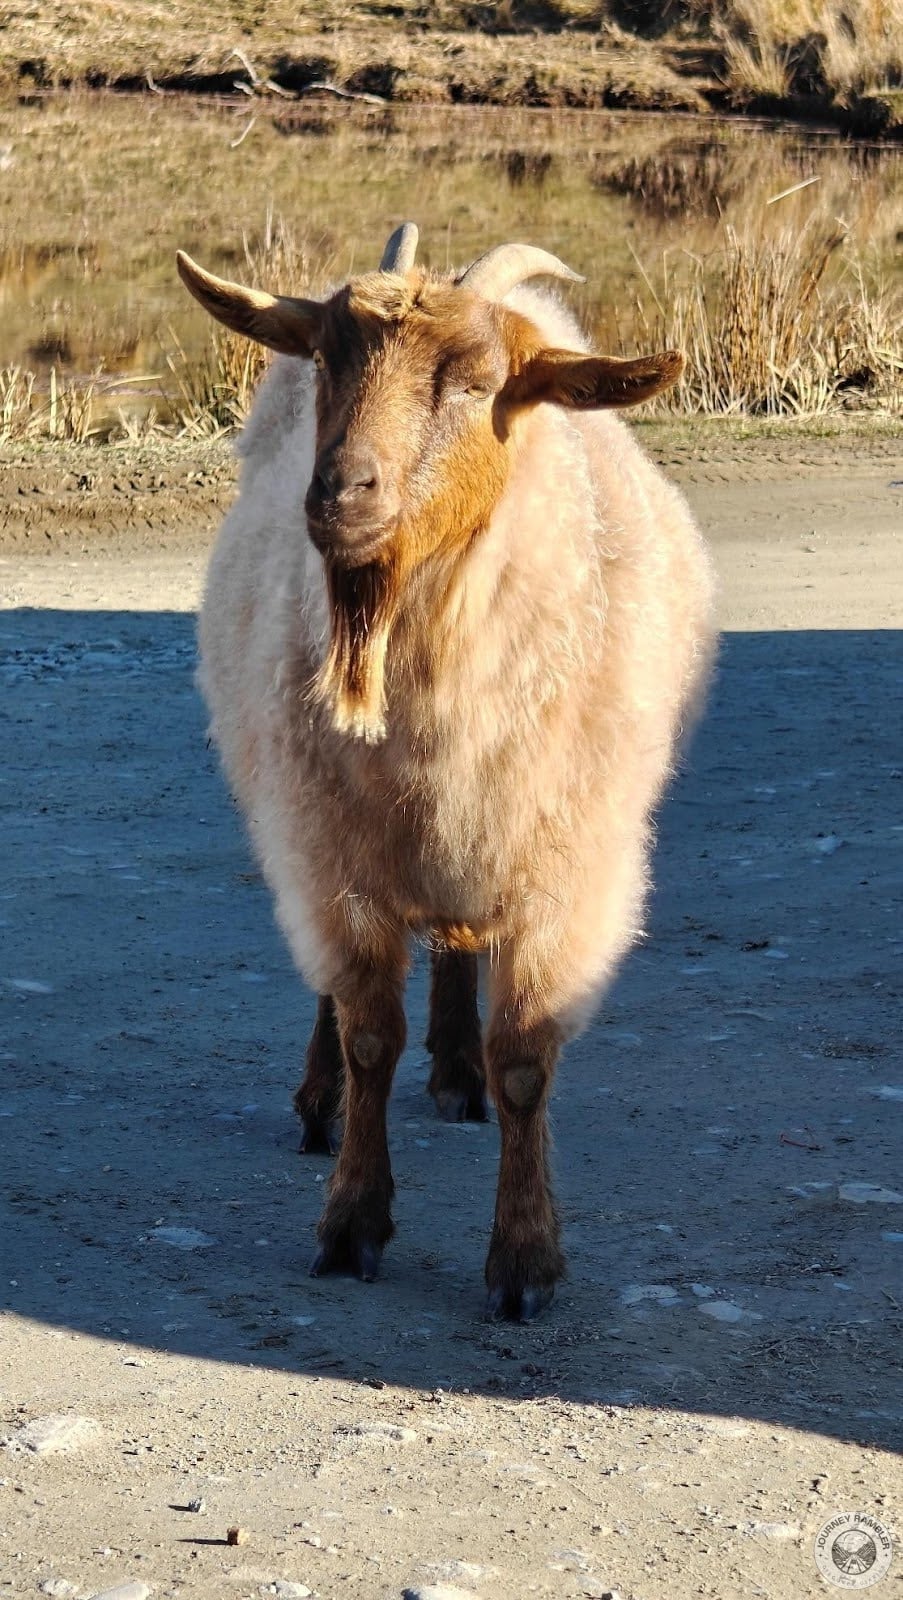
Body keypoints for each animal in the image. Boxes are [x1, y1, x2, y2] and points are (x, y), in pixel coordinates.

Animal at [177, 222, 715, 1321]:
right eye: (326, 357)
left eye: (477, 381)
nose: (340, 491)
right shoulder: (334, 858)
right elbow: (367, 1033)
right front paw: (352, 1219)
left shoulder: (560, 871)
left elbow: (524, 1063)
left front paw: (525, 1256)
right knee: (338, 1001)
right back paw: (319, 1099)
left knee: (463, 953)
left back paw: (457, 1066)